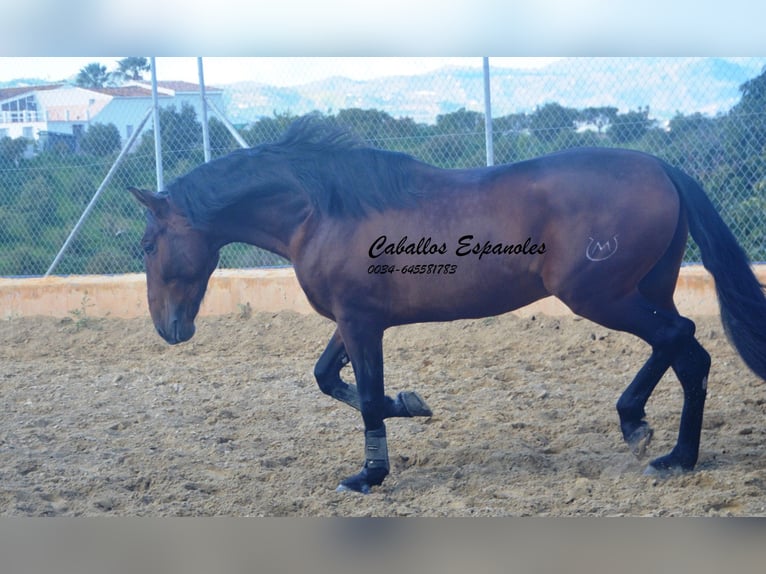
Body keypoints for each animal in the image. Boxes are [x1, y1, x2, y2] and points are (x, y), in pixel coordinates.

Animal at [129, 117, 766, 496]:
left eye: (147, 244)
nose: (168, 329)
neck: (321, 210)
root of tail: (662, 167)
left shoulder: (361, 323)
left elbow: (364, 396)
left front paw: (369, 474)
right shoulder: (354, 319)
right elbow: (329, 378)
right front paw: (410, 404)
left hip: (601, 295)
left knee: (681, 341)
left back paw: (664, 447)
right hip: (642, 290)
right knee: (683, 350)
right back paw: (656, 440)